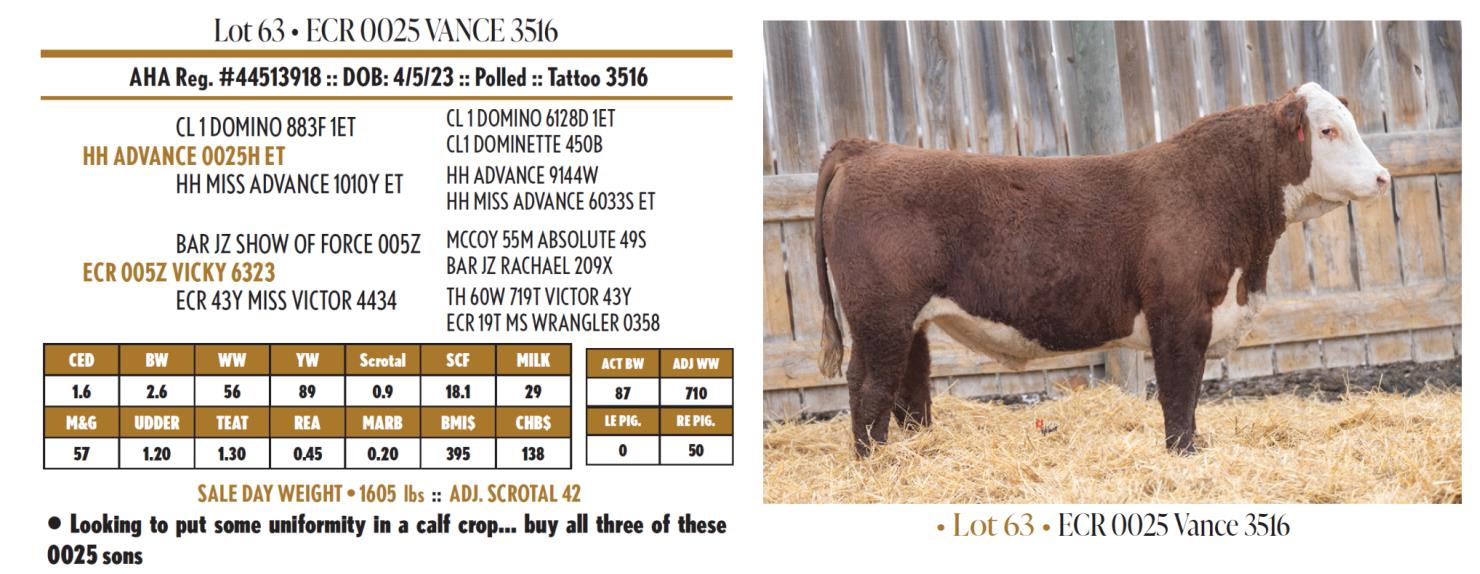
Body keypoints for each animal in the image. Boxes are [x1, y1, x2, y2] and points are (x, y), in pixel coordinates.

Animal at [814, 83, 1390, 456]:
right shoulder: (1178, 315)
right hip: (880, 315)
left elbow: (1190, 396)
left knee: (908, 387)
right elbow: (1179, 393)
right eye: (1328, 130)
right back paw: (874, 463)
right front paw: (1184, 454)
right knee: (869, 385)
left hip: (908, 321)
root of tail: (866, 148)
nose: (1384, 177)